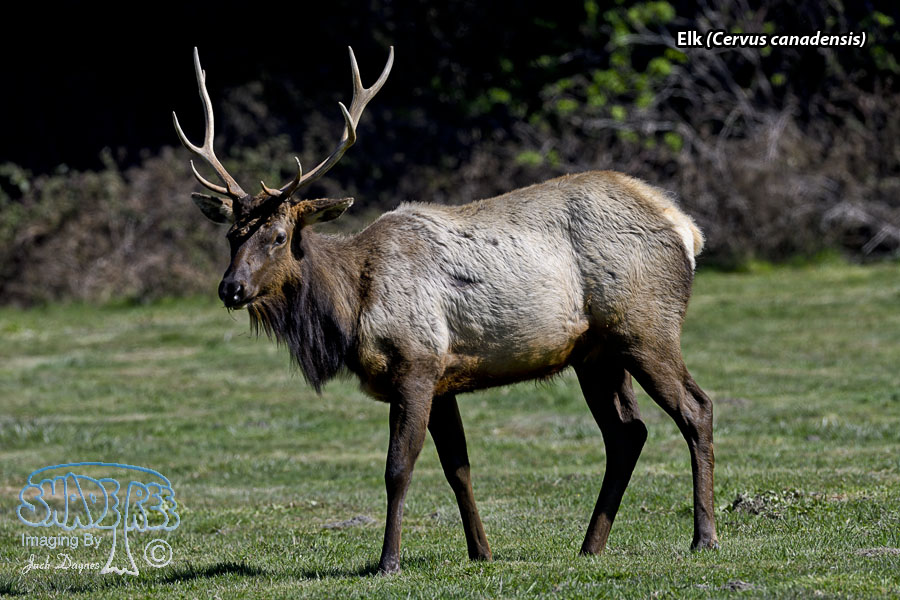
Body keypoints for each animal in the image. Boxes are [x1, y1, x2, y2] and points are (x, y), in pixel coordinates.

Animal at [173, 46, 718, 574]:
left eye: (280, 236)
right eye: (232, 235)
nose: (231, 288)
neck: (351, 310)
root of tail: (688, 229)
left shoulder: (416, 362)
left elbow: (399, 467)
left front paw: (388, 561)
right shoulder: (443, 378)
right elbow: (458, 467)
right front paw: (482, 552)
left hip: (645, 327)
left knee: (696, 408)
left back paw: (703, 538)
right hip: (597, 355)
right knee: (628, 433)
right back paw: (590, 547)